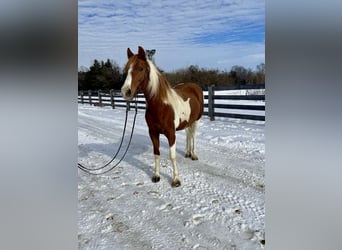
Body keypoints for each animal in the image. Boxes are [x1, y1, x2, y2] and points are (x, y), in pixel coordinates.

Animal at [121, 46, 203, 188]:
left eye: (140, 68)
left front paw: (176, 180)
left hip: (196, 121)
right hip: (188, 121)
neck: (161, 105)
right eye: (126, 69)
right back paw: (187, 153)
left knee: (193, 136)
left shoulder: (171, 133)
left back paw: (194, 155)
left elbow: (172, 156)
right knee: (188, 134)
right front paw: (156, 176)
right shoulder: (153, 133)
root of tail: (194, 87)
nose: (126, 91)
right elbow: (156, 153)